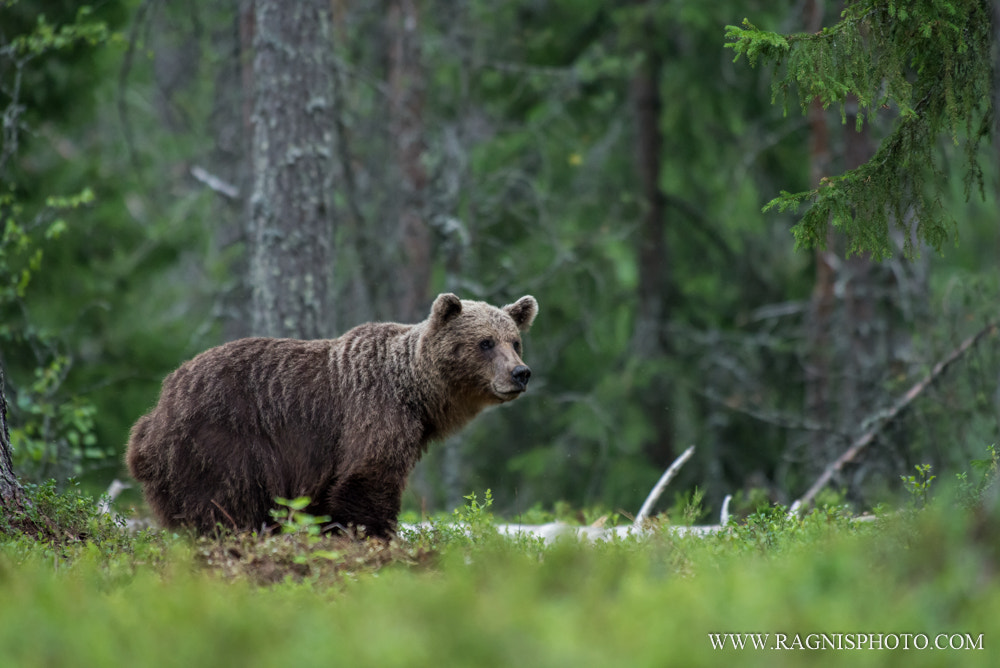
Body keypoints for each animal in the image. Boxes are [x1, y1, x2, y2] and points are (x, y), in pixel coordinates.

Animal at [125, 293, 538, 538]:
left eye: (515, 341)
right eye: (485, 342)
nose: (520, 373)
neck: (415, 393)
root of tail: (156, 409)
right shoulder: (372, 412)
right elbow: (367, 481)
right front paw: (376, 538)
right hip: (222, 441)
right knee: (226, 504)